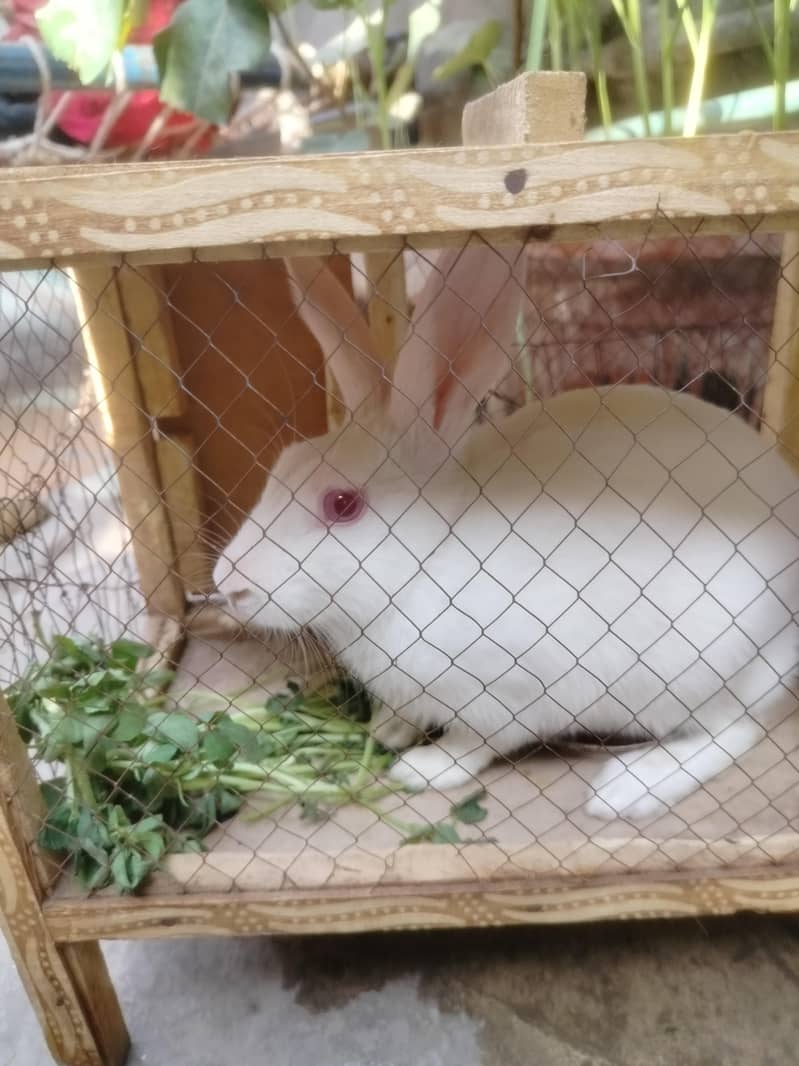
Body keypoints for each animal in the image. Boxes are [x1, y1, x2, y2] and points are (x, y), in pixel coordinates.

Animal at [213, 244, 799, 822]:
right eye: (283, 465)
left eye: (342, 504)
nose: (227, 584)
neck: (422, 565)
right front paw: (388, 730)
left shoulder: (508, 698)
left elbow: (473, 745)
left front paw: (421, 769)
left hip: (714, 673)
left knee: (735, 730)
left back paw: (627, 789)